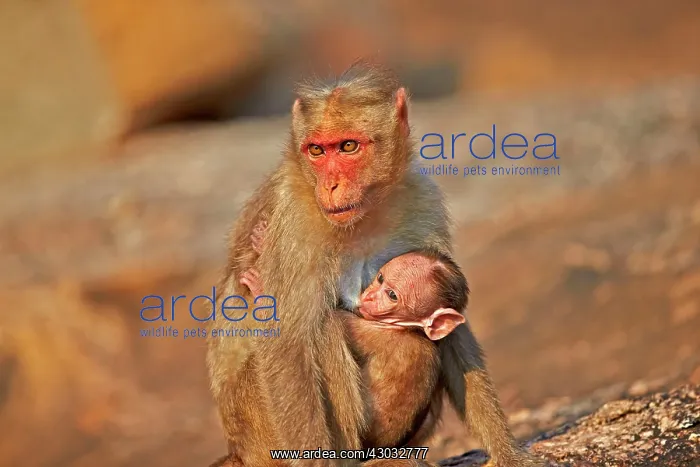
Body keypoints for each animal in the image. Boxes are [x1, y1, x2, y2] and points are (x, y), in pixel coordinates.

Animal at [206, 61, 544, 467]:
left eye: (348, 146)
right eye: (316, 150)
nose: (330, 185)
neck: (363, 217)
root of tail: (238, 450)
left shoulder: (421, 199)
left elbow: (451, 326)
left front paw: (508, 450)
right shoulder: (293, 222)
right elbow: (288, 344)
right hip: (258, 426)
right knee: (324, 331)